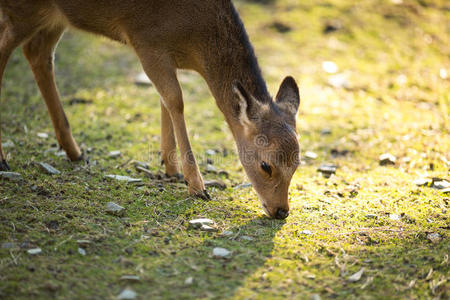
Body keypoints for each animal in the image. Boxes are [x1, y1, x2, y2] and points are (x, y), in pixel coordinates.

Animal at [0, 0, 302, 220]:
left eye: (297, 164)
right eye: (266, 165)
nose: (281, 211)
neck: (194, 38)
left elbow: (164, 99)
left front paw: (170, 168)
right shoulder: (145, 40)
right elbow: (175, 99)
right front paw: (197, 186)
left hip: (54, 17)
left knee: (37, 51)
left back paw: (73, 150)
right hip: (23, 9)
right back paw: (5, 159)